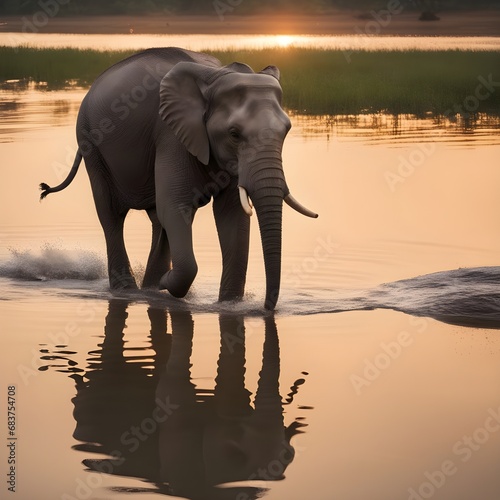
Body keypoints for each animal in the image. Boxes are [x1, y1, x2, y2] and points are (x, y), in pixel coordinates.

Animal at [41, 47, 318, 308]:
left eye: (287, 130)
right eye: (234, 134)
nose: (266, 309)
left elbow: (231, 216)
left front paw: (229, 305)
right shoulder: (171, 134)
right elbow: (175, 206)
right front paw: (168, 284)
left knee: (157, 219)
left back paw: (150, 288)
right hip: (90, 143)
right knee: (111, 215)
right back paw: (131, 290)